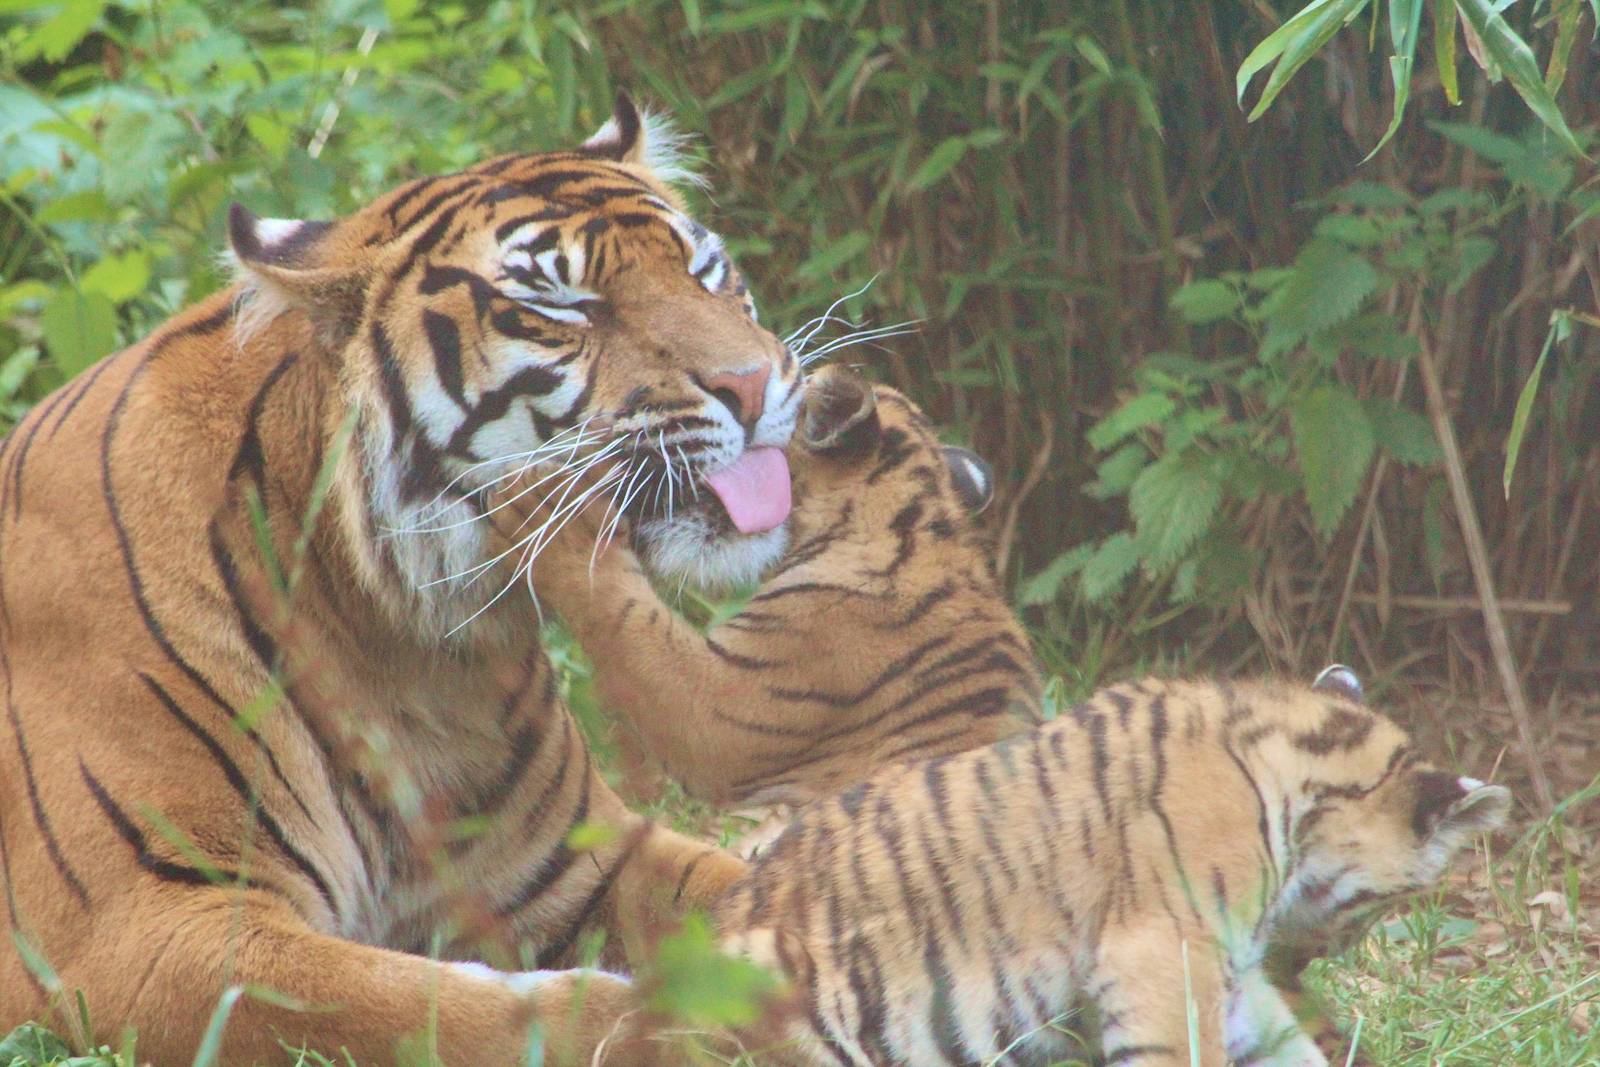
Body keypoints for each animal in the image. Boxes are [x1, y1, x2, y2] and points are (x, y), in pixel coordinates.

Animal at [0, 93, 815, 1066]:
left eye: (703, 270)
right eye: (564, 306)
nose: (756, 381)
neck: (404, 636)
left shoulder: (576, 857)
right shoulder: (139, 930)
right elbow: (453, 1010)